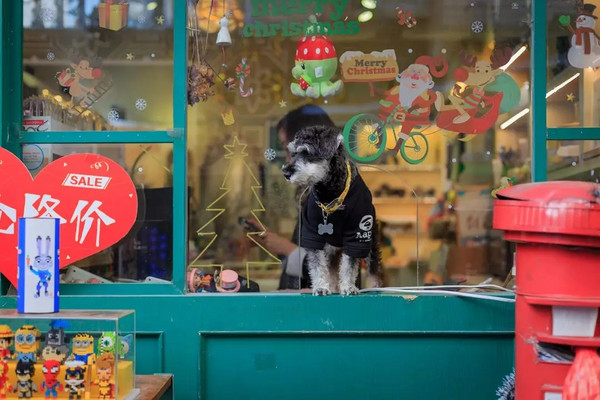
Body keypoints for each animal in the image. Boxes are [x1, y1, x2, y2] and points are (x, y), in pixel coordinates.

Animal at [282, 126, 384, 296]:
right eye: (293, 153)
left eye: (307, 152)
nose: (286, 173)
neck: (330, 194)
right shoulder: (313, 236)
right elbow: (317, 266)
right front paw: (320, 287)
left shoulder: (357, 236)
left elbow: (349, 266)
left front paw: (349, 287)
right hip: (330, 250)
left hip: (370, 243)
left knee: (373, 268)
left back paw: (376, 286)